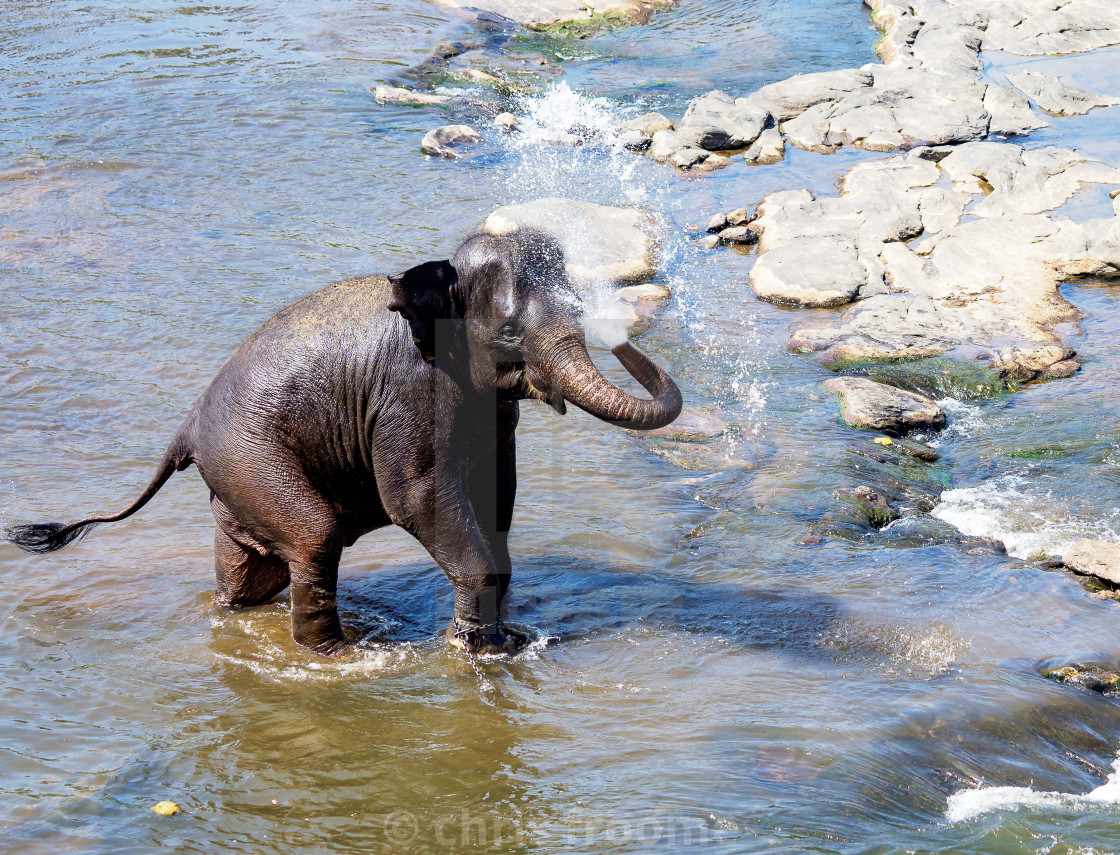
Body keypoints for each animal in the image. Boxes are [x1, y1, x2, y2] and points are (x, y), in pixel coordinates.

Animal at [6, 225, 680, 654]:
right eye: (511, 331)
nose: (621, 338)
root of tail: (186, 428)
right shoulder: (410, 394)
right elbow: (416, 499)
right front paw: (474, 652)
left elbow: (497, 497)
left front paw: (498, 643)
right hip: (252, 456)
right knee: (314, 536)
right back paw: (340, 657)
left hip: (236, 475)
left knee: (252, 569)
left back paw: (243, 615)